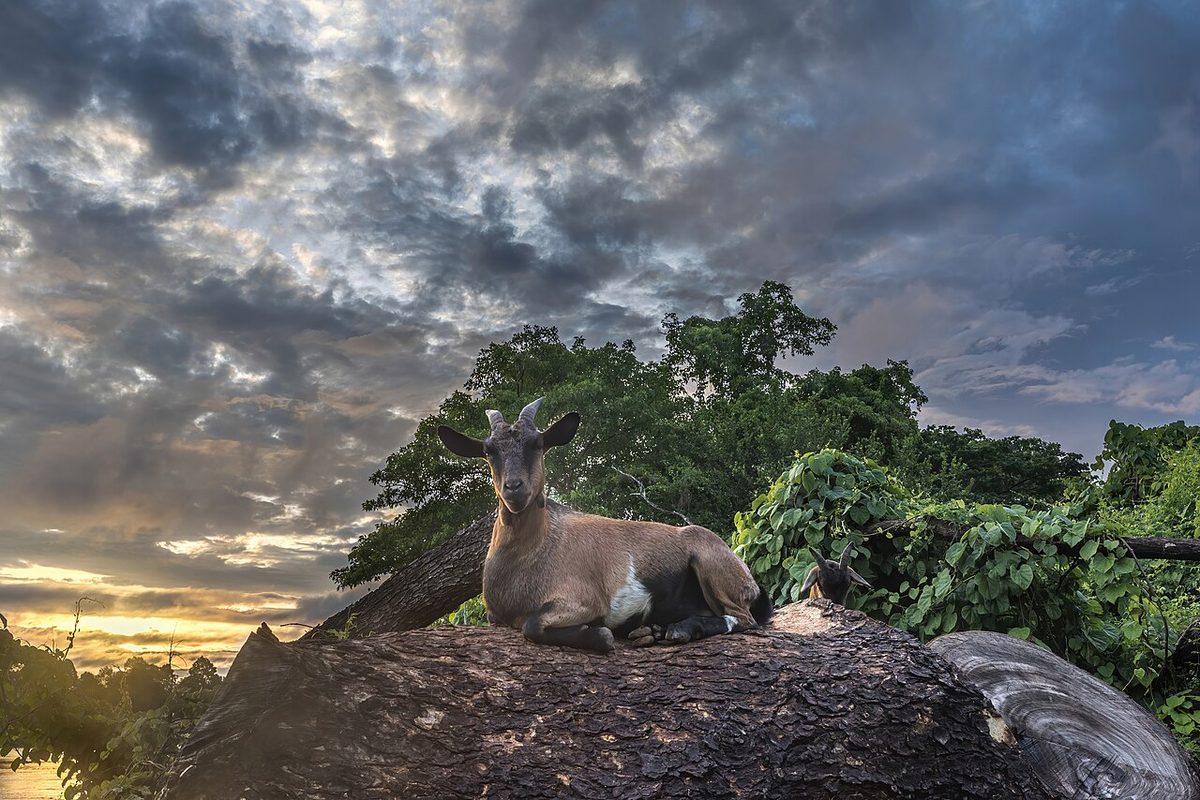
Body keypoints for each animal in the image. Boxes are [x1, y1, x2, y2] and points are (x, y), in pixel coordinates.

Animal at [437, 398, 773, 653]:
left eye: (538, 444)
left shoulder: (584, 600)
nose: (514, 488)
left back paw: (680, 630)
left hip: (710, 564)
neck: (533, 552)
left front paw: (599, 635)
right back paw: (653, 631)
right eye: (489, 450)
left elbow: (533, 625)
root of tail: (752, 584)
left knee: (743, 619)